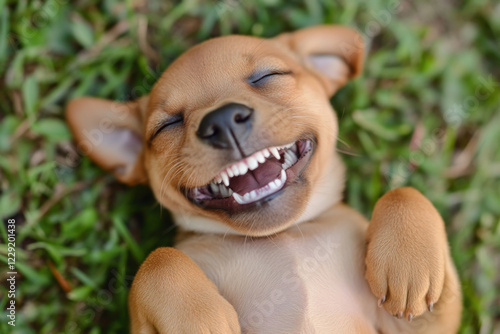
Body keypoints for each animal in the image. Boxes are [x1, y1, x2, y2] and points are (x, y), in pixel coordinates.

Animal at [65, 24, 460, 332]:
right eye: (168, 125)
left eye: (268, 76)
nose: (222, 120)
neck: (280, 235)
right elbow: (158, 261)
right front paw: (198, 321)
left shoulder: (420, 323)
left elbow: (404, 192)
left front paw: (408, 264)